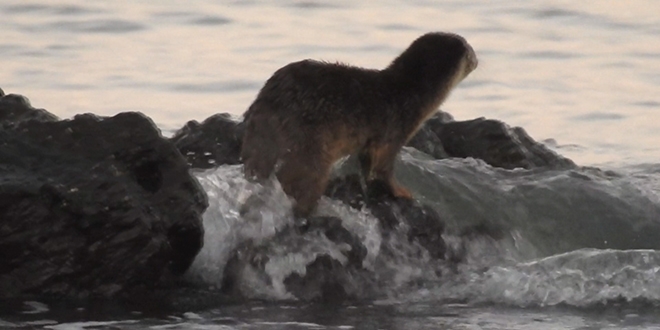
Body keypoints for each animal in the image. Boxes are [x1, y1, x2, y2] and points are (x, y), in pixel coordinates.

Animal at [240, 32, 476, 218]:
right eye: (469, 50)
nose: (477, 58)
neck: (408, 94)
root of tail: (268, 103)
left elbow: (366, 163)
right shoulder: (394, 131)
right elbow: (384, 168)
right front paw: (401, 191)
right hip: (310, 143)